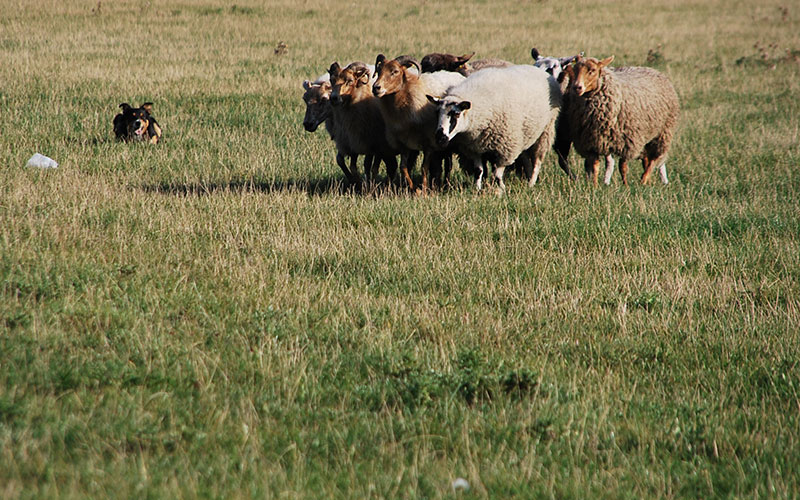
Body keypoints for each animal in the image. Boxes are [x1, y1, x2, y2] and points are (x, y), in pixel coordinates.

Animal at [432, 65, 564, 192]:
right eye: (437, 112)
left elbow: (497, 175)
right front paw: (477, 189)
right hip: (525, 134)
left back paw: (531, 184)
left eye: (456, 114)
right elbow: (478, 171)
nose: (440, 137)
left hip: (546, 131)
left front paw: (500, 191)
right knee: (526, 158)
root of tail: (540, 70)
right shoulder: (474, 148)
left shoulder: (505, 149)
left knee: (537, 161)